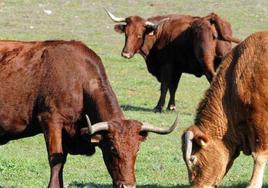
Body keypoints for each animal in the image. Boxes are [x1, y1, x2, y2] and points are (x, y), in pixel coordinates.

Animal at [0, 40, 178, 188]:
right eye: (113, 148)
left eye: (138, 149)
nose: (128, 186)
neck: (78, 81)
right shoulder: (50, 121)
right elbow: (56, 159)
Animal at [106, 10, 241, 112]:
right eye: (126, 34)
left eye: (139, 34)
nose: (125, 54)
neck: (158, 35)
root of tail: (209, 19)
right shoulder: (177, 69)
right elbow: (173, 87)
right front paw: (171, 106)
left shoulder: (166, 66)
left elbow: (164, 86)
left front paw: (159, 106)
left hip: (206, 63)